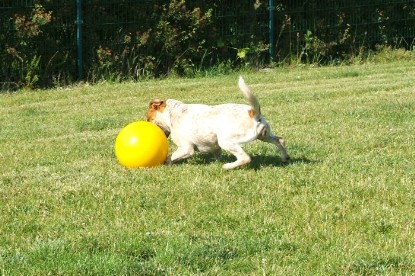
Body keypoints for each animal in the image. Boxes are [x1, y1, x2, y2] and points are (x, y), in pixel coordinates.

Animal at [148, 76, 290, 169]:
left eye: (148, 119)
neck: (172, 112)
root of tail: (253, 112)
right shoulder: (214, 146)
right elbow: (216, 153)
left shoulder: (186, 148)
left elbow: (170, 157)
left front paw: (165, 163)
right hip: (264, 135)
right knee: (280, 140)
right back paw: (285, 158)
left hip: (226, 141)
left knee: (245, 158)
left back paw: (227, 166)